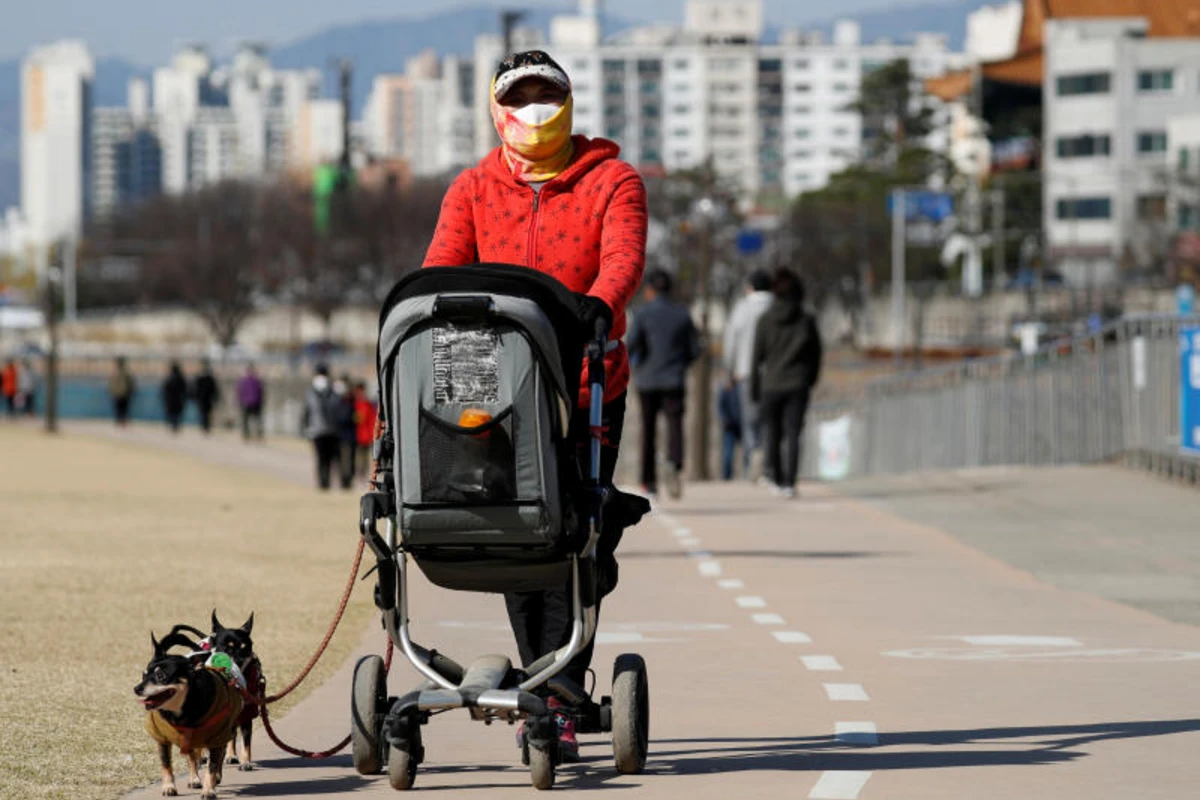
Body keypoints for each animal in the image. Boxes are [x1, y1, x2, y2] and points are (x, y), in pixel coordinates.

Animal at [136, 628, 243, 796]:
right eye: (143, 675)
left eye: (161, 676)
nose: (137, 688)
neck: (180, 711)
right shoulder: (162, 738)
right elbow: (166, 764)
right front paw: (169, 787)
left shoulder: (218, 737)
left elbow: (212, 765)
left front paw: (209, 789)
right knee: (192, 757)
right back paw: (194, 779)